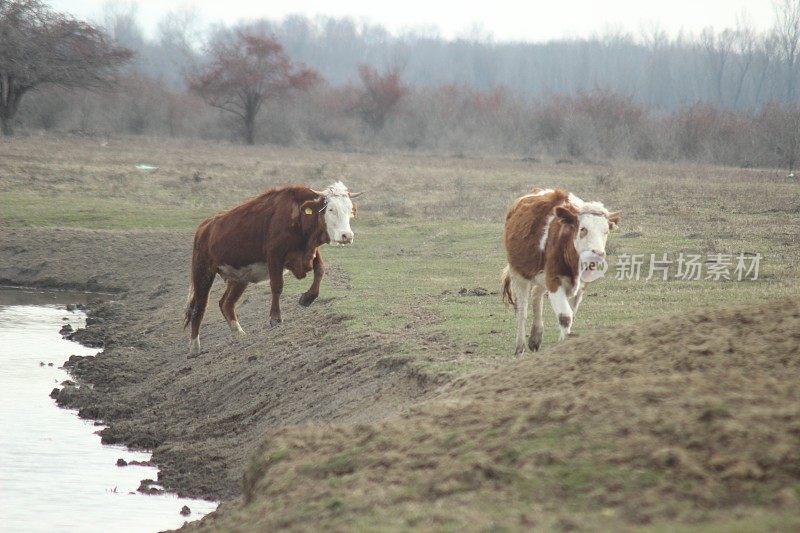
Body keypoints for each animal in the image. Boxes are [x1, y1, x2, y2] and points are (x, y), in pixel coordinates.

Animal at [183, 181, 360, 356]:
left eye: (350, 210)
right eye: (331, 209)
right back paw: (194, 347)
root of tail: (204, 227)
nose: (347, 236)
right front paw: (275, 317)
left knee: (226, 303)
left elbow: (320, 270)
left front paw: (307, 298)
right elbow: (277, 286)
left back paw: (239, 333)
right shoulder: (275, 255)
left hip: (239, 277)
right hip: (203, 272)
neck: (297, 218)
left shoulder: (310, 251)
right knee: (199, 307)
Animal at [504, 189, 620, 356]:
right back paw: (520, 347)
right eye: (583, 229)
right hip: (518, 274)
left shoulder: (580, 286)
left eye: (606, 231)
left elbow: (571, 313)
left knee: (536, 293)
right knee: (521, 310)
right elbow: (565, 316)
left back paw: (535, 337)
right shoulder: (554, 280)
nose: (598, 253)